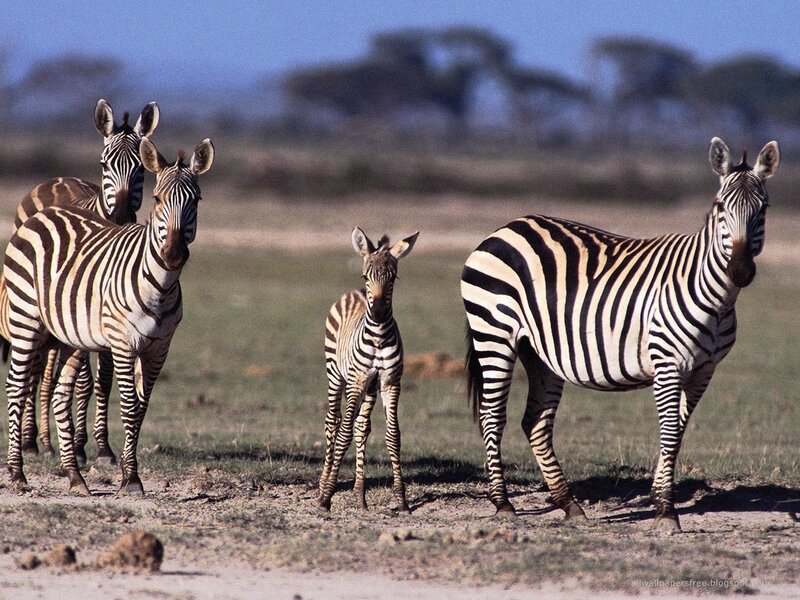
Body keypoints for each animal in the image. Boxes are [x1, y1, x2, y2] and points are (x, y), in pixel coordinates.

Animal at [3, 98, 159, 463]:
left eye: (141, 169)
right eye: (104, 164)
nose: (121, 217)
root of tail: (56, 179)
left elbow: (104, 380)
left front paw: (101, 447)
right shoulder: (82, 313)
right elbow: (83, 381)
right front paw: (76, 445)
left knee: (47, 370)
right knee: (37, 371)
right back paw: (33, 441)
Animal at [4, 136, 213, 494]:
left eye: (196, 200)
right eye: (158, 199)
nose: (173, 254)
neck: (160, 286)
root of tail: (44, 212)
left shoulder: (160, 348)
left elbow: (141, 409)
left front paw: (128, 471)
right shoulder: (122, 343)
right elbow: (128, 406)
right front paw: (131, 479)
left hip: (69, 334)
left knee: (60, 393)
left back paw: (74, 476)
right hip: (25, 320)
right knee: (17, 386)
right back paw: (17, 473)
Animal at [319, 227, 419, 513]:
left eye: (393, 277)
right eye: (366, 276)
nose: (378, 312)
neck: (378, 337)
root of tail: (353, 293)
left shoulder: (389, 382)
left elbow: (393, 436)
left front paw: (402, 500)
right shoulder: (356, 381)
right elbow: (343, 433)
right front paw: (327, 496)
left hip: (371, 388)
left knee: (362, 425)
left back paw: (359, 495)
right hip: (336, 374)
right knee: (334, 421)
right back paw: (323, 482)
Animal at [461, 138, 779, 530]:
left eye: (763, 209)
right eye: (721, 207)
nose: (740, 271)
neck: (716, 299)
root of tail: (505, 228)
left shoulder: (705, 370)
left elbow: (677, 435)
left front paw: (660, 500)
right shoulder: (667, 363)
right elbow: (669, 431)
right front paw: (666, 510)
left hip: (538, 352)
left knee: (535, 422)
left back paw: (569, 504)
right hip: (494, 334)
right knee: (492, 416)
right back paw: (503, 503)